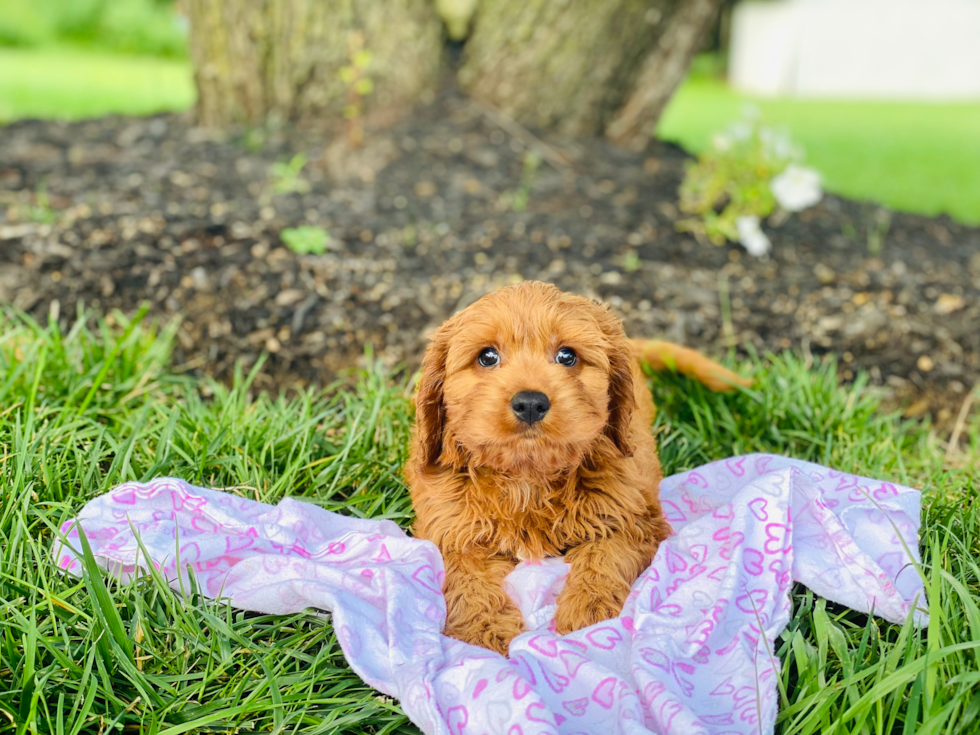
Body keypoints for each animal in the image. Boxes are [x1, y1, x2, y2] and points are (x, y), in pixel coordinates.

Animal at [406, 282, 752, 656]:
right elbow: (465, 579)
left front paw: (587, 616)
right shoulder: (450, 531)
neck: (530, 477)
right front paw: (485, 635)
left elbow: (605, 555)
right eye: (487, 357)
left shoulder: (631, 518)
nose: (531, 403)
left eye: (567, 356)